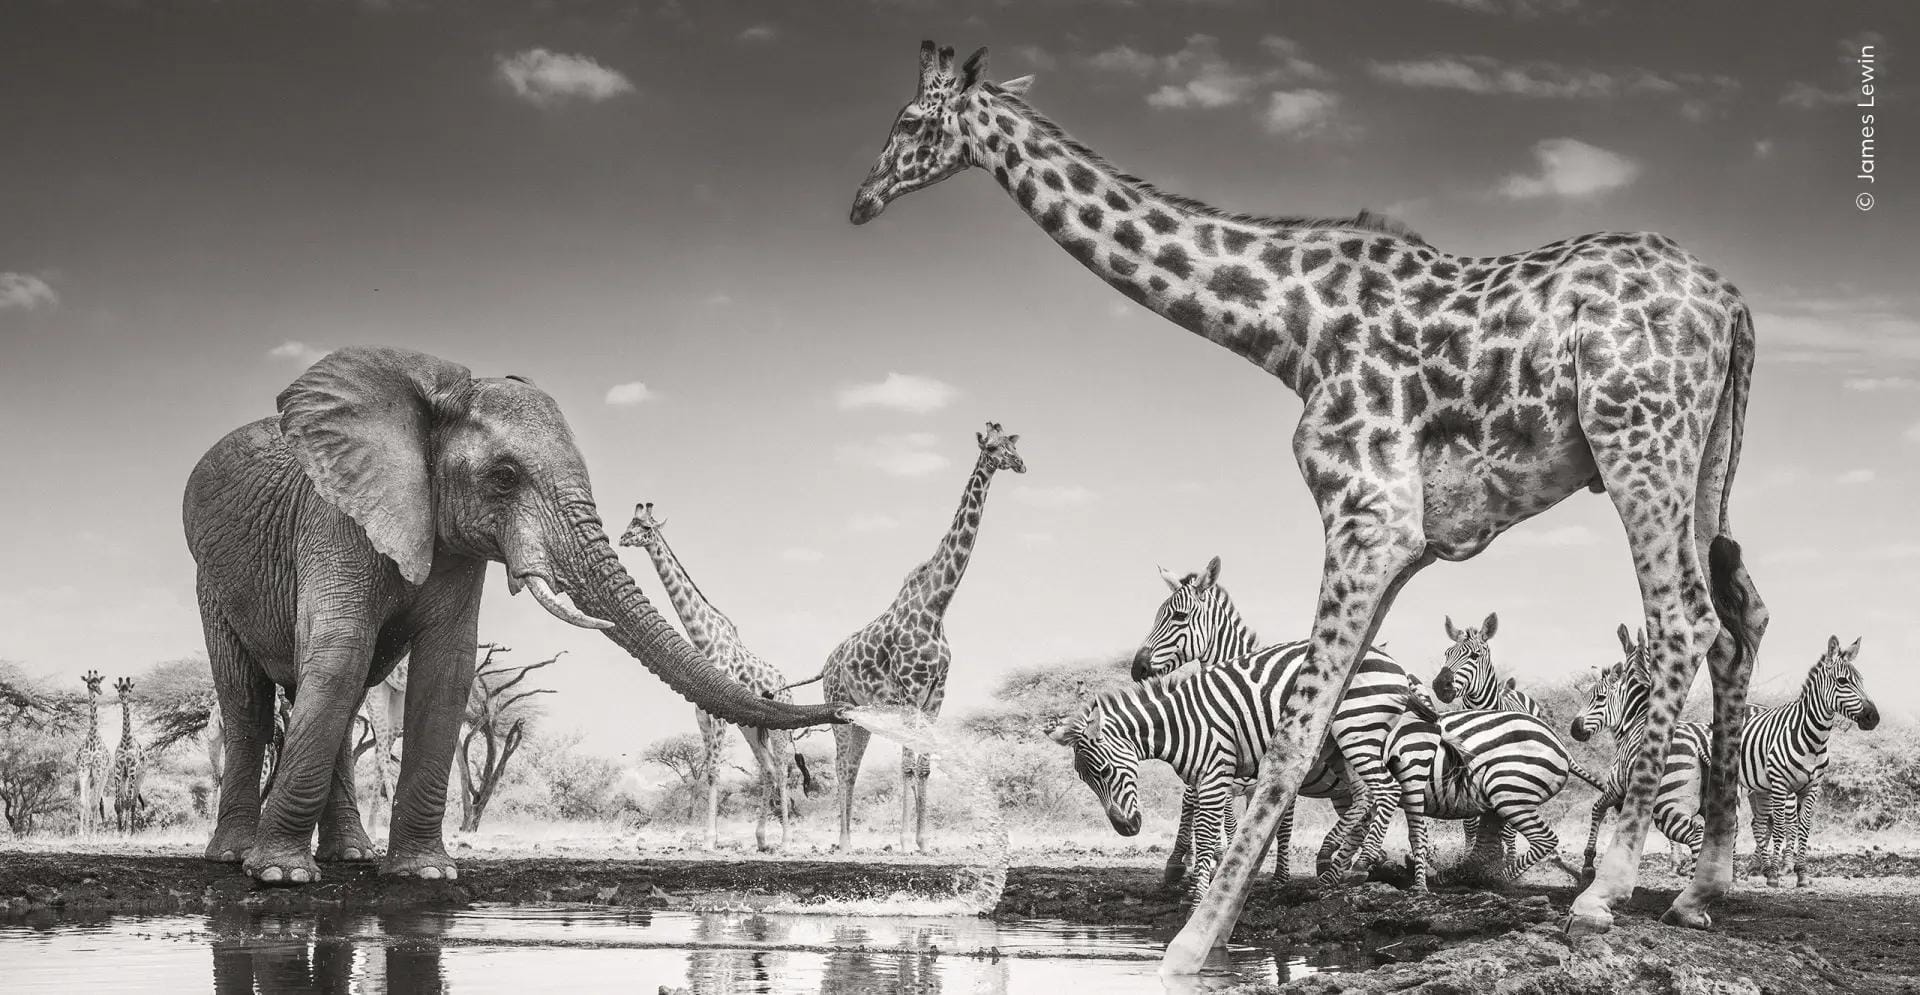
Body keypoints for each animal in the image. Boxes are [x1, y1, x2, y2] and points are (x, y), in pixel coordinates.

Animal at [184, 346, 842, 884]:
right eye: (503, 476)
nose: (844, 705)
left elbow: (447, 672)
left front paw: (425, 874)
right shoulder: (334, 518)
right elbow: (341, 656)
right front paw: (279, 877)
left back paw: (350, 856)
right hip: (210, 577)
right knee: (251, 699)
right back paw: (237, 857)